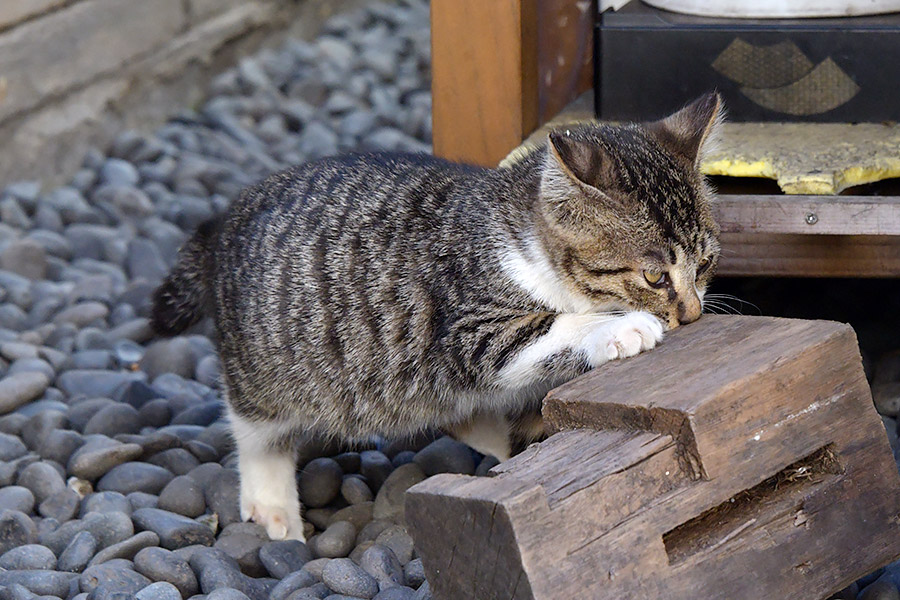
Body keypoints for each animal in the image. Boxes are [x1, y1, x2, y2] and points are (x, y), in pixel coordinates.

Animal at [151, 91, 720, 540]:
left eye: (706, 263)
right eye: (654, 276)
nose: (692, 314)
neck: (519, 236)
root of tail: (222, 224)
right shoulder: (469, 330)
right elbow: (547, 326)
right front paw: (623, 325)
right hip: (266, 367)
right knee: (256, 431)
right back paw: (271, 505)